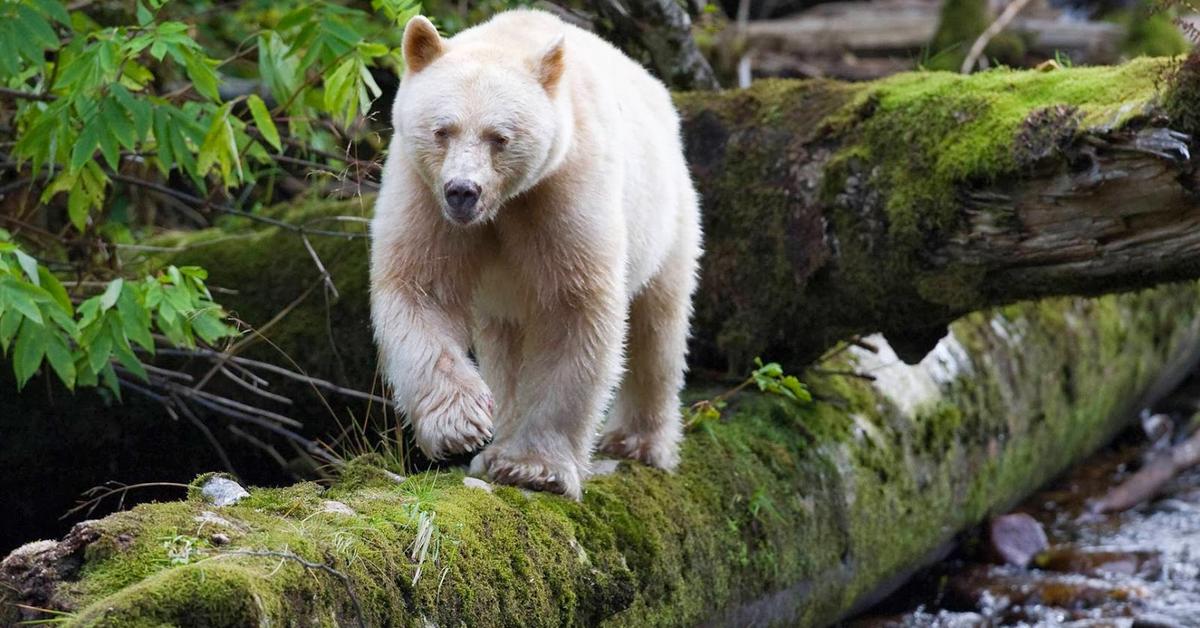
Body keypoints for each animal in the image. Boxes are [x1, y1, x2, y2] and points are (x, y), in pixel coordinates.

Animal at [369, 8, 700, 501]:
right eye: (442, 130)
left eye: (499, 137)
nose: (462, 191)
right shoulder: (423, 193)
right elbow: (421, 287)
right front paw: (460, 425)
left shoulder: (563, 190)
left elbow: (573, 309)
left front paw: (534, 467)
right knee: (504, 345)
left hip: (668, 218)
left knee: (657, 326)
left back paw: (639, 442)